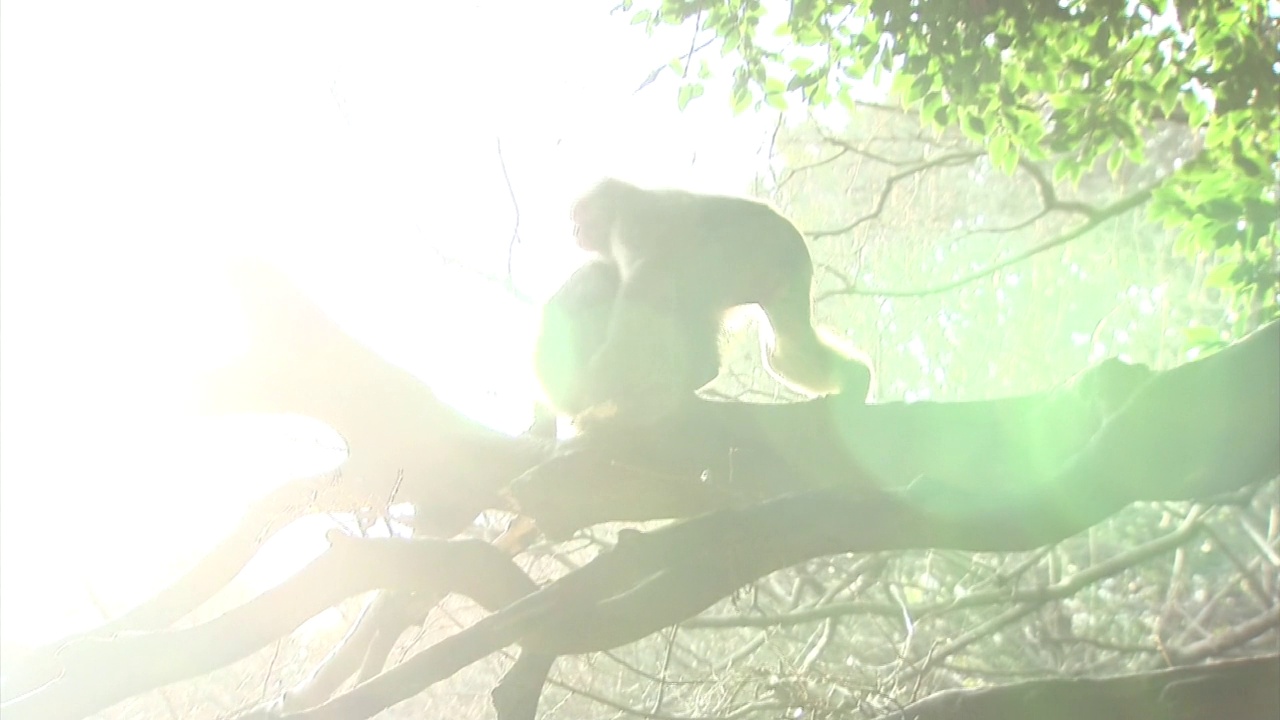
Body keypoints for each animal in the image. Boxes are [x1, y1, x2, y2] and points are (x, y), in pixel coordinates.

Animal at [535, 176, 875, 422]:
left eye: (580, 217)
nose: (575, 230)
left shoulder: (632, 230)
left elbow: (637, 315)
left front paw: (586, 392)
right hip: (786, 270)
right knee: (783, 349)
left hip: (747, 250)